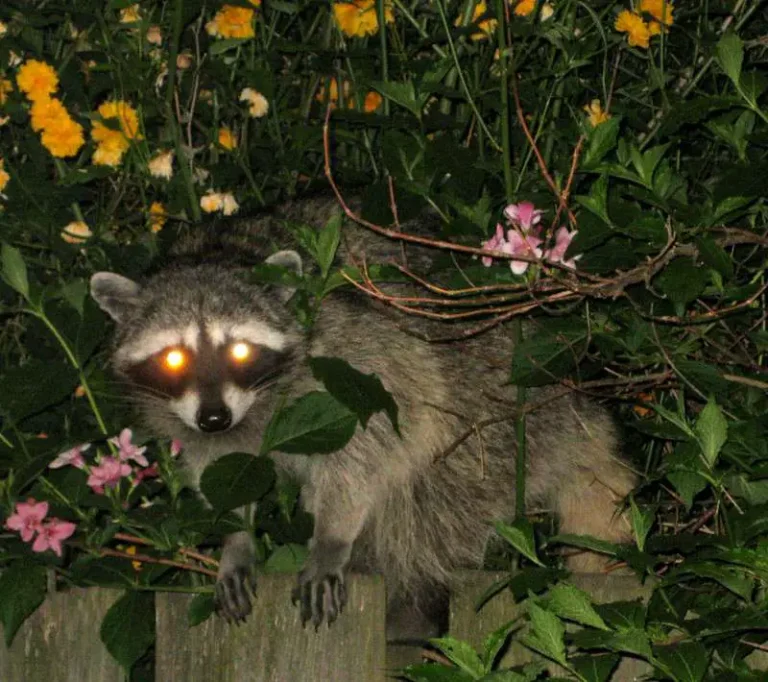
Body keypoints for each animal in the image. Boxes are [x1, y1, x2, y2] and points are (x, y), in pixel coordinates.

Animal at [89, 197, 637, 630]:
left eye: (240, 351)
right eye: (174, 358)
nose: (214, 418)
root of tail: (570, 400)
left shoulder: (353, 356)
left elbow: (366, 446)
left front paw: (331, 537)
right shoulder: (193, 416)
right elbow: (218, 471)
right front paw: (236, 537)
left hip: (495, 412)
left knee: (428, 500)